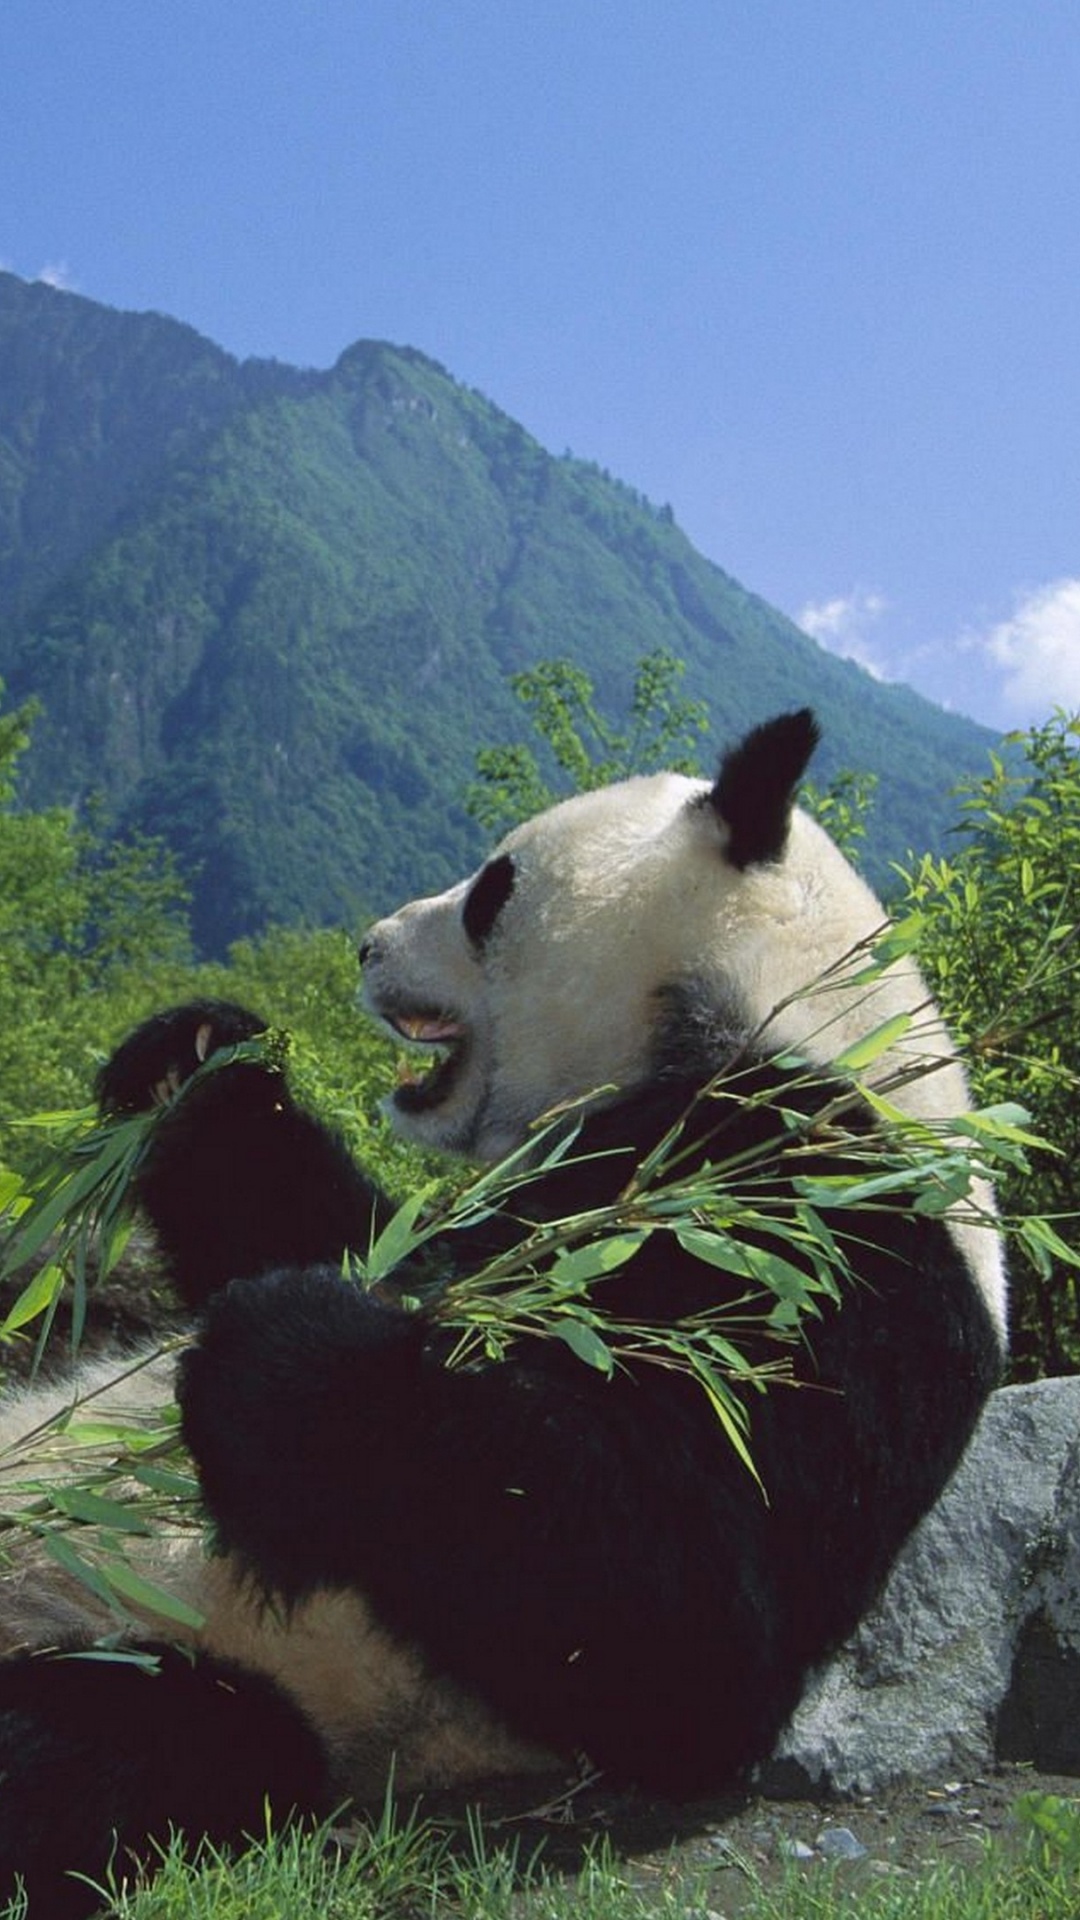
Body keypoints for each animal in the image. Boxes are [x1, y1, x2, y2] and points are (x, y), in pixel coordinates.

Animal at [0, 709, 1005, 1916]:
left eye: (490, 888)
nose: (368, 944)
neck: (781, 1016)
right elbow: (352, 1231)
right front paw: (197, 1057)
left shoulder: (836, 1248)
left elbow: (689, 1632)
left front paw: (285, 1356)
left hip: (188, 1660)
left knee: (127, 1744)